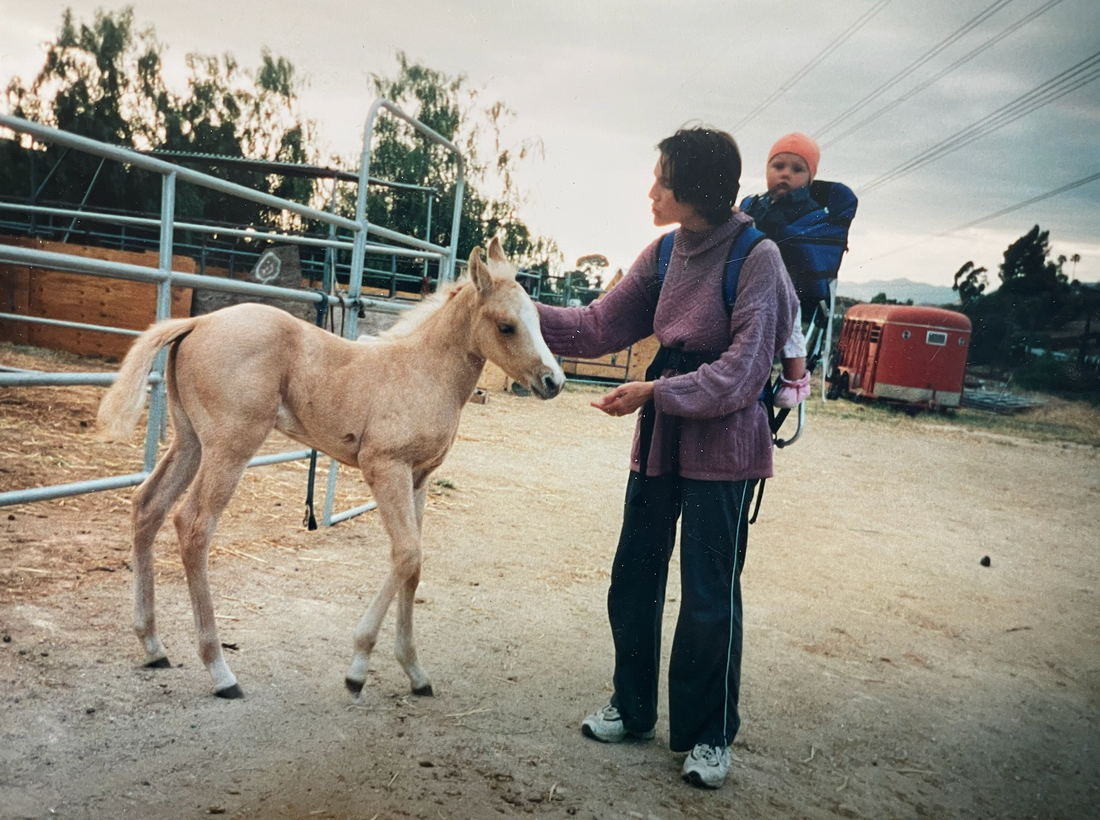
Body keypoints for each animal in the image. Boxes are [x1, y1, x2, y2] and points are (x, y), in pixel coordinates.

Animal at [97, 239, 563, 700]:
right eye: (506, 326)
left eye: (538, 319)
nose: (553, 381)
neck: (424, 371)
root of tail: (197, 322)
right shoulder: (386, 468)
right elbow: (406, 553)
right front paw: (358, 668)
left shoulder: (419, 478)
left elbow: (414, 566)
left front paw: (415, 671)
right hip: (229, 448)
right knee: (193, 526)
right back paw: (220, 671)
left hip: (190, 442)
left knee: (148, 506)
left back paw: (153, 646)